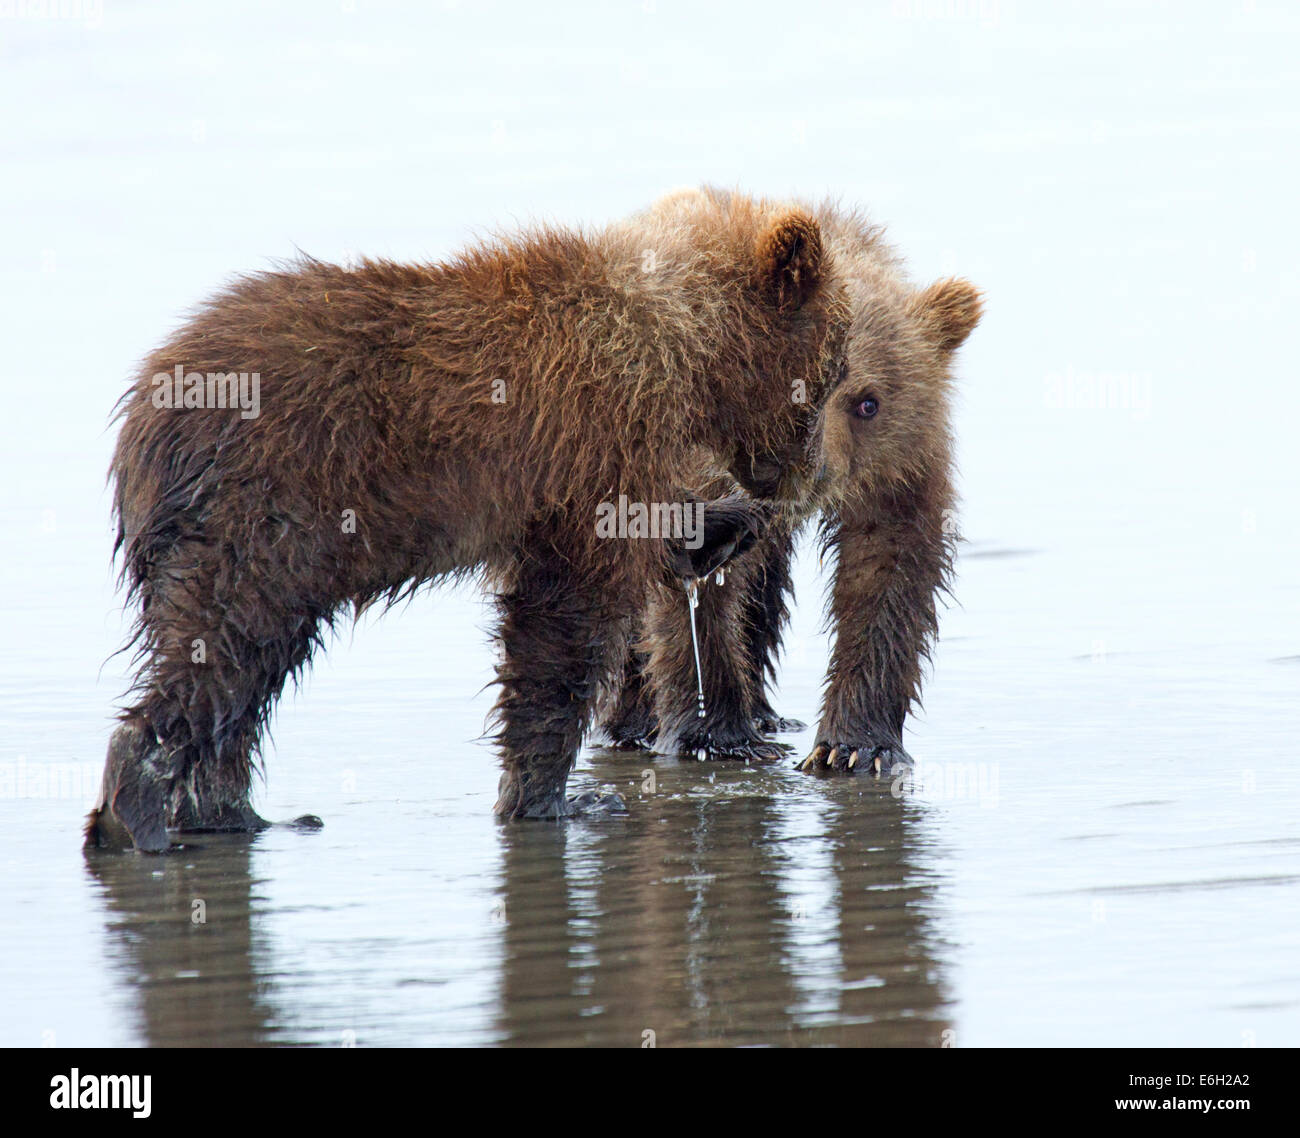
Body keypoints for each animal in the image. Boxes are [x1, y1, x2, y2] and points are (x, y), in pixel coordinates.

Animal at [84, 192, 844, 851]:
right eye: (834, 366)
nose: (811, 475)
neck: (688, 345)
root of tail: (141, 419)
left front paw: (724, 525)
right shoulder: (593, 437)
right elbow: (564, 619)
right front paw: (559, 795)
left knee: (247, 674)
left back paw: (240, 814)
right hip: (264, 511)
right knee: (226, 641)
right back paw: (140, 811)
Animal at [598, 189, 982, 775]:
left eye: (867, 402)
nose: (811, 471)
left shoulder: (900, 468)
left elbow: (887, 574)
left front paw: (856, 746)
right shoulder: (699, 483)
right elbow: (701, 591)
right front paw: (718, 733)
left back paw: (765, 710)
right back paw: (635, 719)